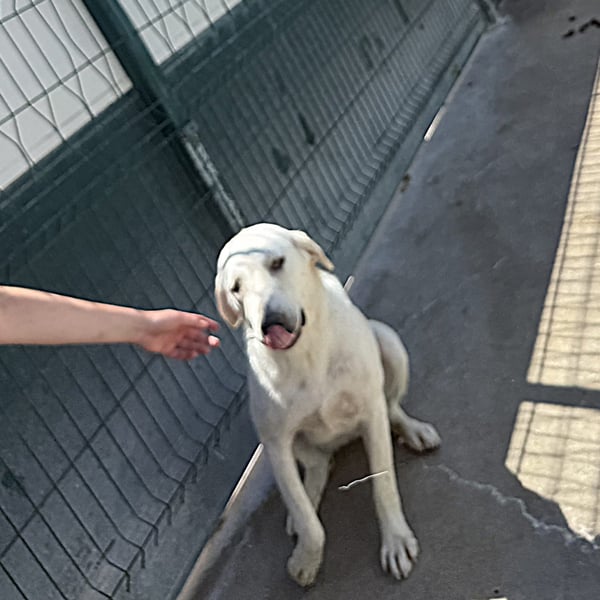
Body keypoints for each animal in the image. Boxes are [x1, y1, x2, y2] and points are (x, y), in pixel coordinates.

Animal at [215, 223, 440, 586]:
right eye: (235, 288)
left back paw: (414, 430)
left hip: (388, 341)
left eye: (277, 263)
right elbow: (311, 523)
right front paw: (307, 556)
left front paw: (395, 540)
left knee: (392, 408)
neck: (305, 355)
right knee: (318, 466)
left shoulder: (371, 411)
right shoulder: (276, 444)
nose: (270, 323)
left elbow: (384, 485)